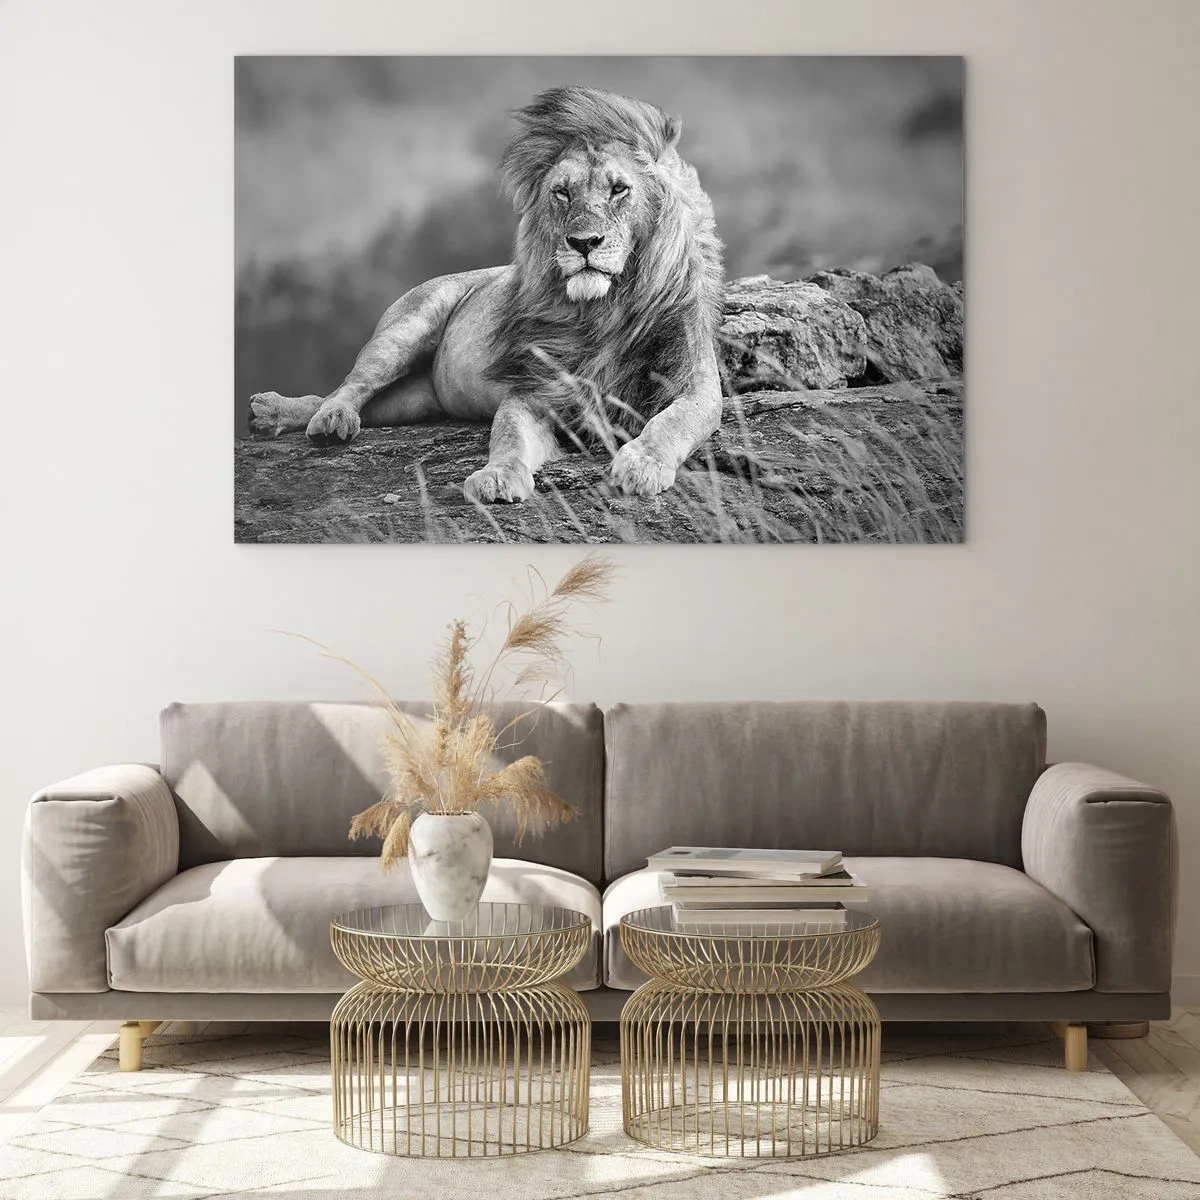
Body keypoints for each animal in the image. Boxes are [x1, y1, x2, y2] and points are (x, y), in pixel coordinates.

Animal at [249, 86, 725, 502]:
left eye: (619, 188)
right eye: (562, 192)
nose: (583, 243)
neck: (603, 310)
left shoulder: (696, 384)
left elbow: (673, 422)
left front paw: (642, 463)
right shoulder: (534, 390)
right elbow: (508, 436)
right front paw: (496, 477)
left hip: (415, 401)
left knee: (351, 401)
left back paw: (275, 414)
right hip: (405, 329)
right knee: (349, 386)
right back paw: (320, 419)